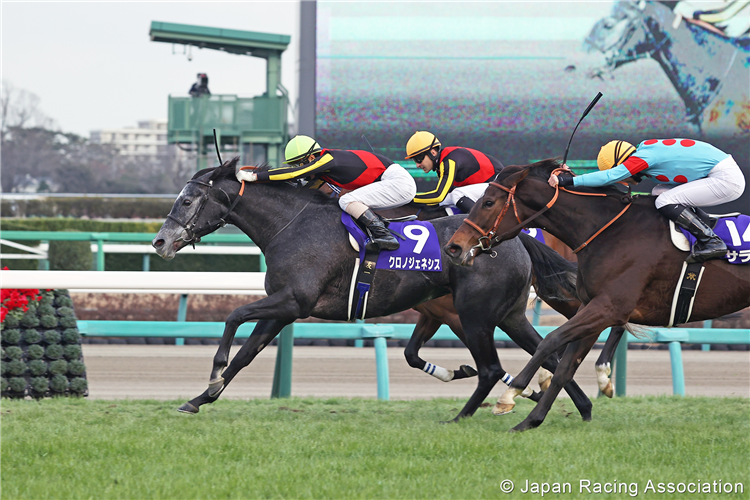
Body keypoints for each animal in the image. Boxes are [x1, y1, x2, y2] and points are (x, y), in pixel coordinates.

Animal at [153, 159, 600, 418]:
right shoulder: (284, 308)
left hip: (475, 315)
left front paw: (212, 375)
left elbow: (233, 316)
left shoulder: (293, 301)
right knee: (548, 351)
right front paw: (201, 398)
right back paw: (581, 406)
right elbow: (247, 354)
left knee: (493, 368)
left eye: (188, 200)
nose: (160, 241)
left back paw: (463, 416)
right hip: (507, 314)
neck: (291, 225)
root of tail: (511, 237)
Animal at [446, 158, 750, 432]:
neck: (611, 230)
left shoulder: (609, 307)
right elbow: (566, 365)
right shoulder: (592, 306)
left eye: (488, 202)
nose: (454, 247)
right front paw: (531, 421)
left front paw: (510, 395)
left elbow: (549, 341)